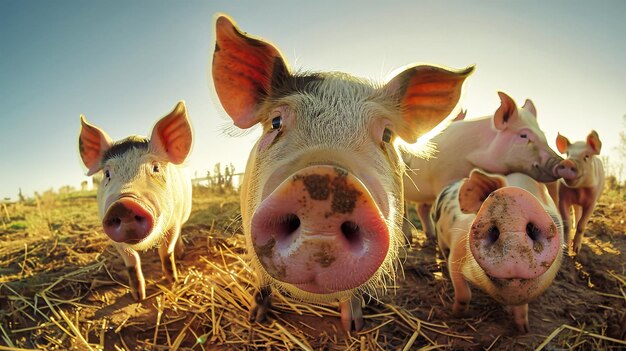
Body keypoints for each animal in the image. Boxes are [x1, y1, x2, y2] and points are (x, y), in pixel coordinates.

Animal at [79, 102, 194, 302]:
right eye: (107, 173)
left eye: (155, 167)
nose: (123, 205)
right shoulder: (112, 235)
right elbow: (132, 261)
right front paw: (138, 297)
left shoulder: (172, 223)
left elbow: (166, 252)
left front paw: (172, 283)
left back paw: (181, 253)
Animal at [210, 14, 472, 332]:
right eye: (275, 122)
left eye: (387, 134)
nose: (325, 180)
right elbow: (261, 280)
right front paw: (256, 319)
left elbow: (352, 293)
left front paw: (354, 327)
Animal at [402, 92, 564, 243]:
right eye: (523, 135)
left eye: (544, 136)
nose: (561, 164)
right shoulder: (444, 178)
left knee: (421, 208)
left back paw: (431, 238)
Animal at [432, 169, 564, 334]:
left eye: (554, 219)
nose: (516, 195)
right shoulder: (455, 255)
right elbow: (464, 294)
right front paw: (457, 315)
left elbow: (522, 307)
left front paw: (524, 330)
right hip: (440, 236)